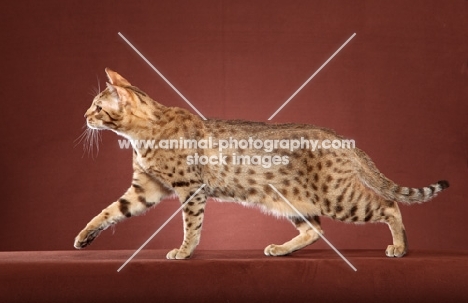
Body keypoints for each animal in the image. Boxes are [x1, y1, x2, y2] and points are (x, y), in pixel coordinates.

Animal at [74, 68, 450, 258]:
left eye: (97, 106)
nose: (84, 116)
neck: (144, 133)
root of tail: (340, 138)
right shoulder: (146, 188)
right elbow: (108, 211)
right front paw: (82, 237)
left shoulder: (190, 189)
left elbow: (191, 225)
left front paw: (184, 251)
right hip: (292, 201)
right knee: (315, 229)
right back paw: (281, 249)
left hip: (338, 198)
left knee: (389, 205)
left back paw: (400, 247)